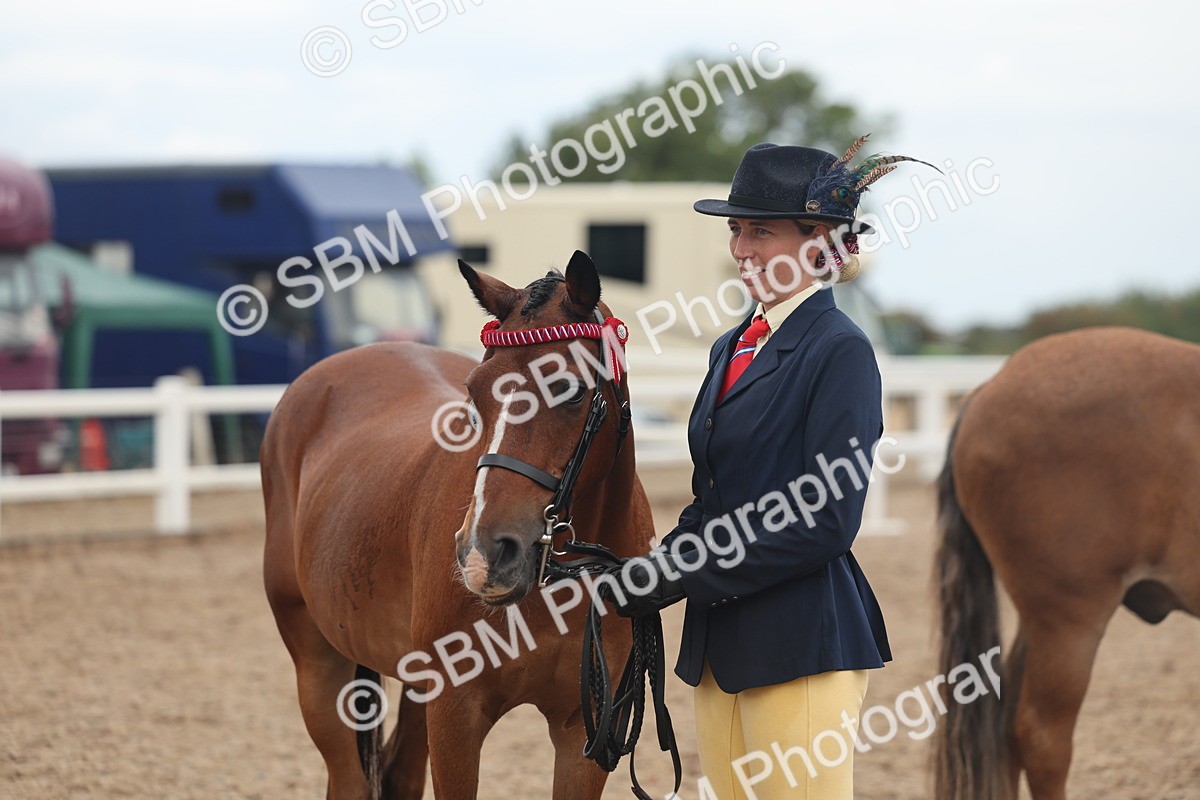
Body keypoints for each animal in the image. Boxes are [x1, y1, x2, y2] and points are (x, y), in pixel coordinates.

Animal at [261, 250, 655, 800]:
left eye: (570, 390)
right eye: (475, 392)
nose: (484, 554)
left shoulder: (587, 725)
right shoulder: (455, 714)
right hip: (318, 666)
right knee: (349, 778)